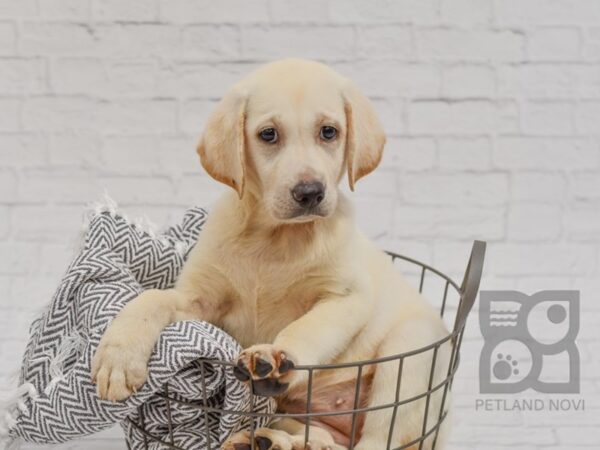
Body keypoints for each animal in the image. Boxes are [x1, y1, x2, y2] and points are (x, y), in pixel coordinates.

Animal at [91, 59, 450, 450]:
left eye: (329, 132)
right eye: (268, 135)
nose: (310, 192)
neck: (275, 240)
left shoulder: (345, 298)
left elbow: (305, 328)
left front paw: (276, 356)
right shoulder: (198, 299)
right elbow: (150, 299)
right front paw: (118, 357)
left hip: (410, 353)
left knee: (376, 440)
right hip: (291, 412)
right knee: (321, 436)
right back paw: (267, 440)